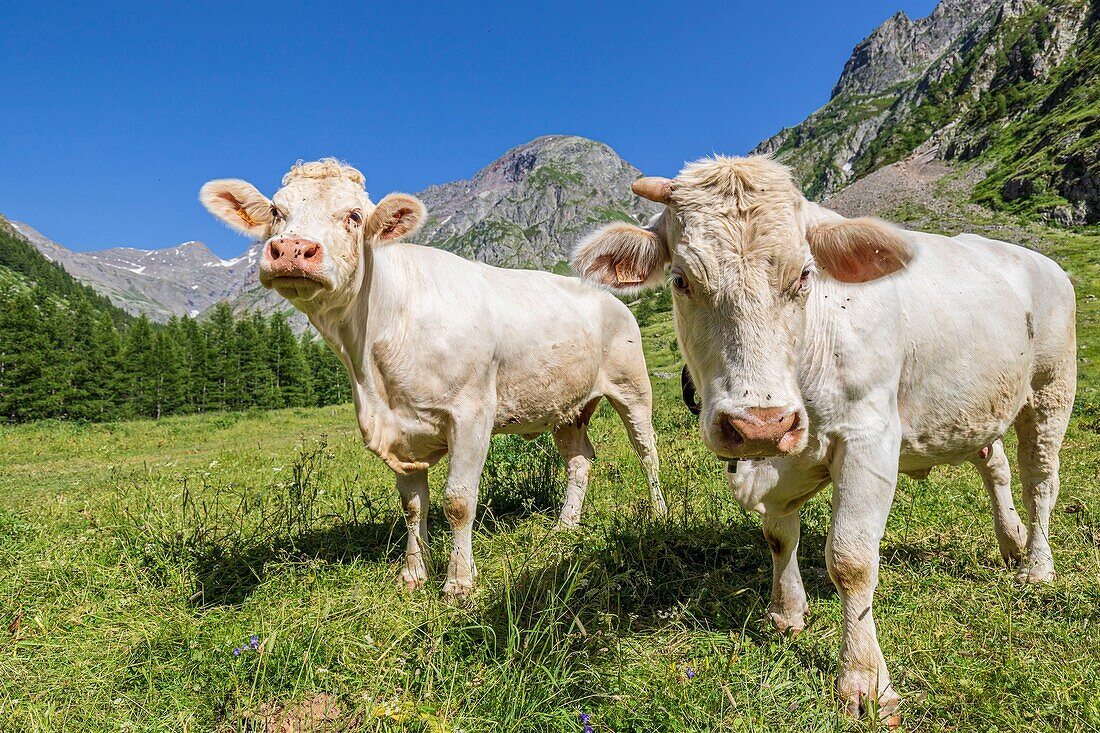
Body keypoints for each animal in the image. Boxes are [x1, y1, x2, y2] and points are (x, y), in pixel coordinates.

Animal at [201, 158, 664, 594]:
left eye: (354, 215)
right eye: (277, 211)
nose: (292, 249)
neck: (373, 367)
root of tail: (606, 296)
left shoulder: (472, 414)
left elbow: (458, 501)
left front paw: (458, 583)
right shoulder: (399, 431)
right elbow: (412, 505)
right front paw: (414, 573)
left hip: (632, 387)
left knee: (646, 450)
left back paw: (658, 513)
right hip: (568, 406)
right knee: (579, 461)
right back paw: (566, 526)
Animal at [572, 155, 1078, 717]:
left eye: (804, 274)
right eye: (681, 279)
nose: (759, 422)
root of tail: (1039, 260)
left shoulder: (868, 437)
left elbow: (851, 560)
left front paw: (864, 681)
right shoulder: (772, 461)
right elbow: (778, 535)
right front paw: (787, 612)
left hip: (1052, 388)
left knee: (1040, 481)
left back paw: (1036, 565)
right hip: (977, 404)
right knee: (995, 464)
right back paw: (1011, 541)